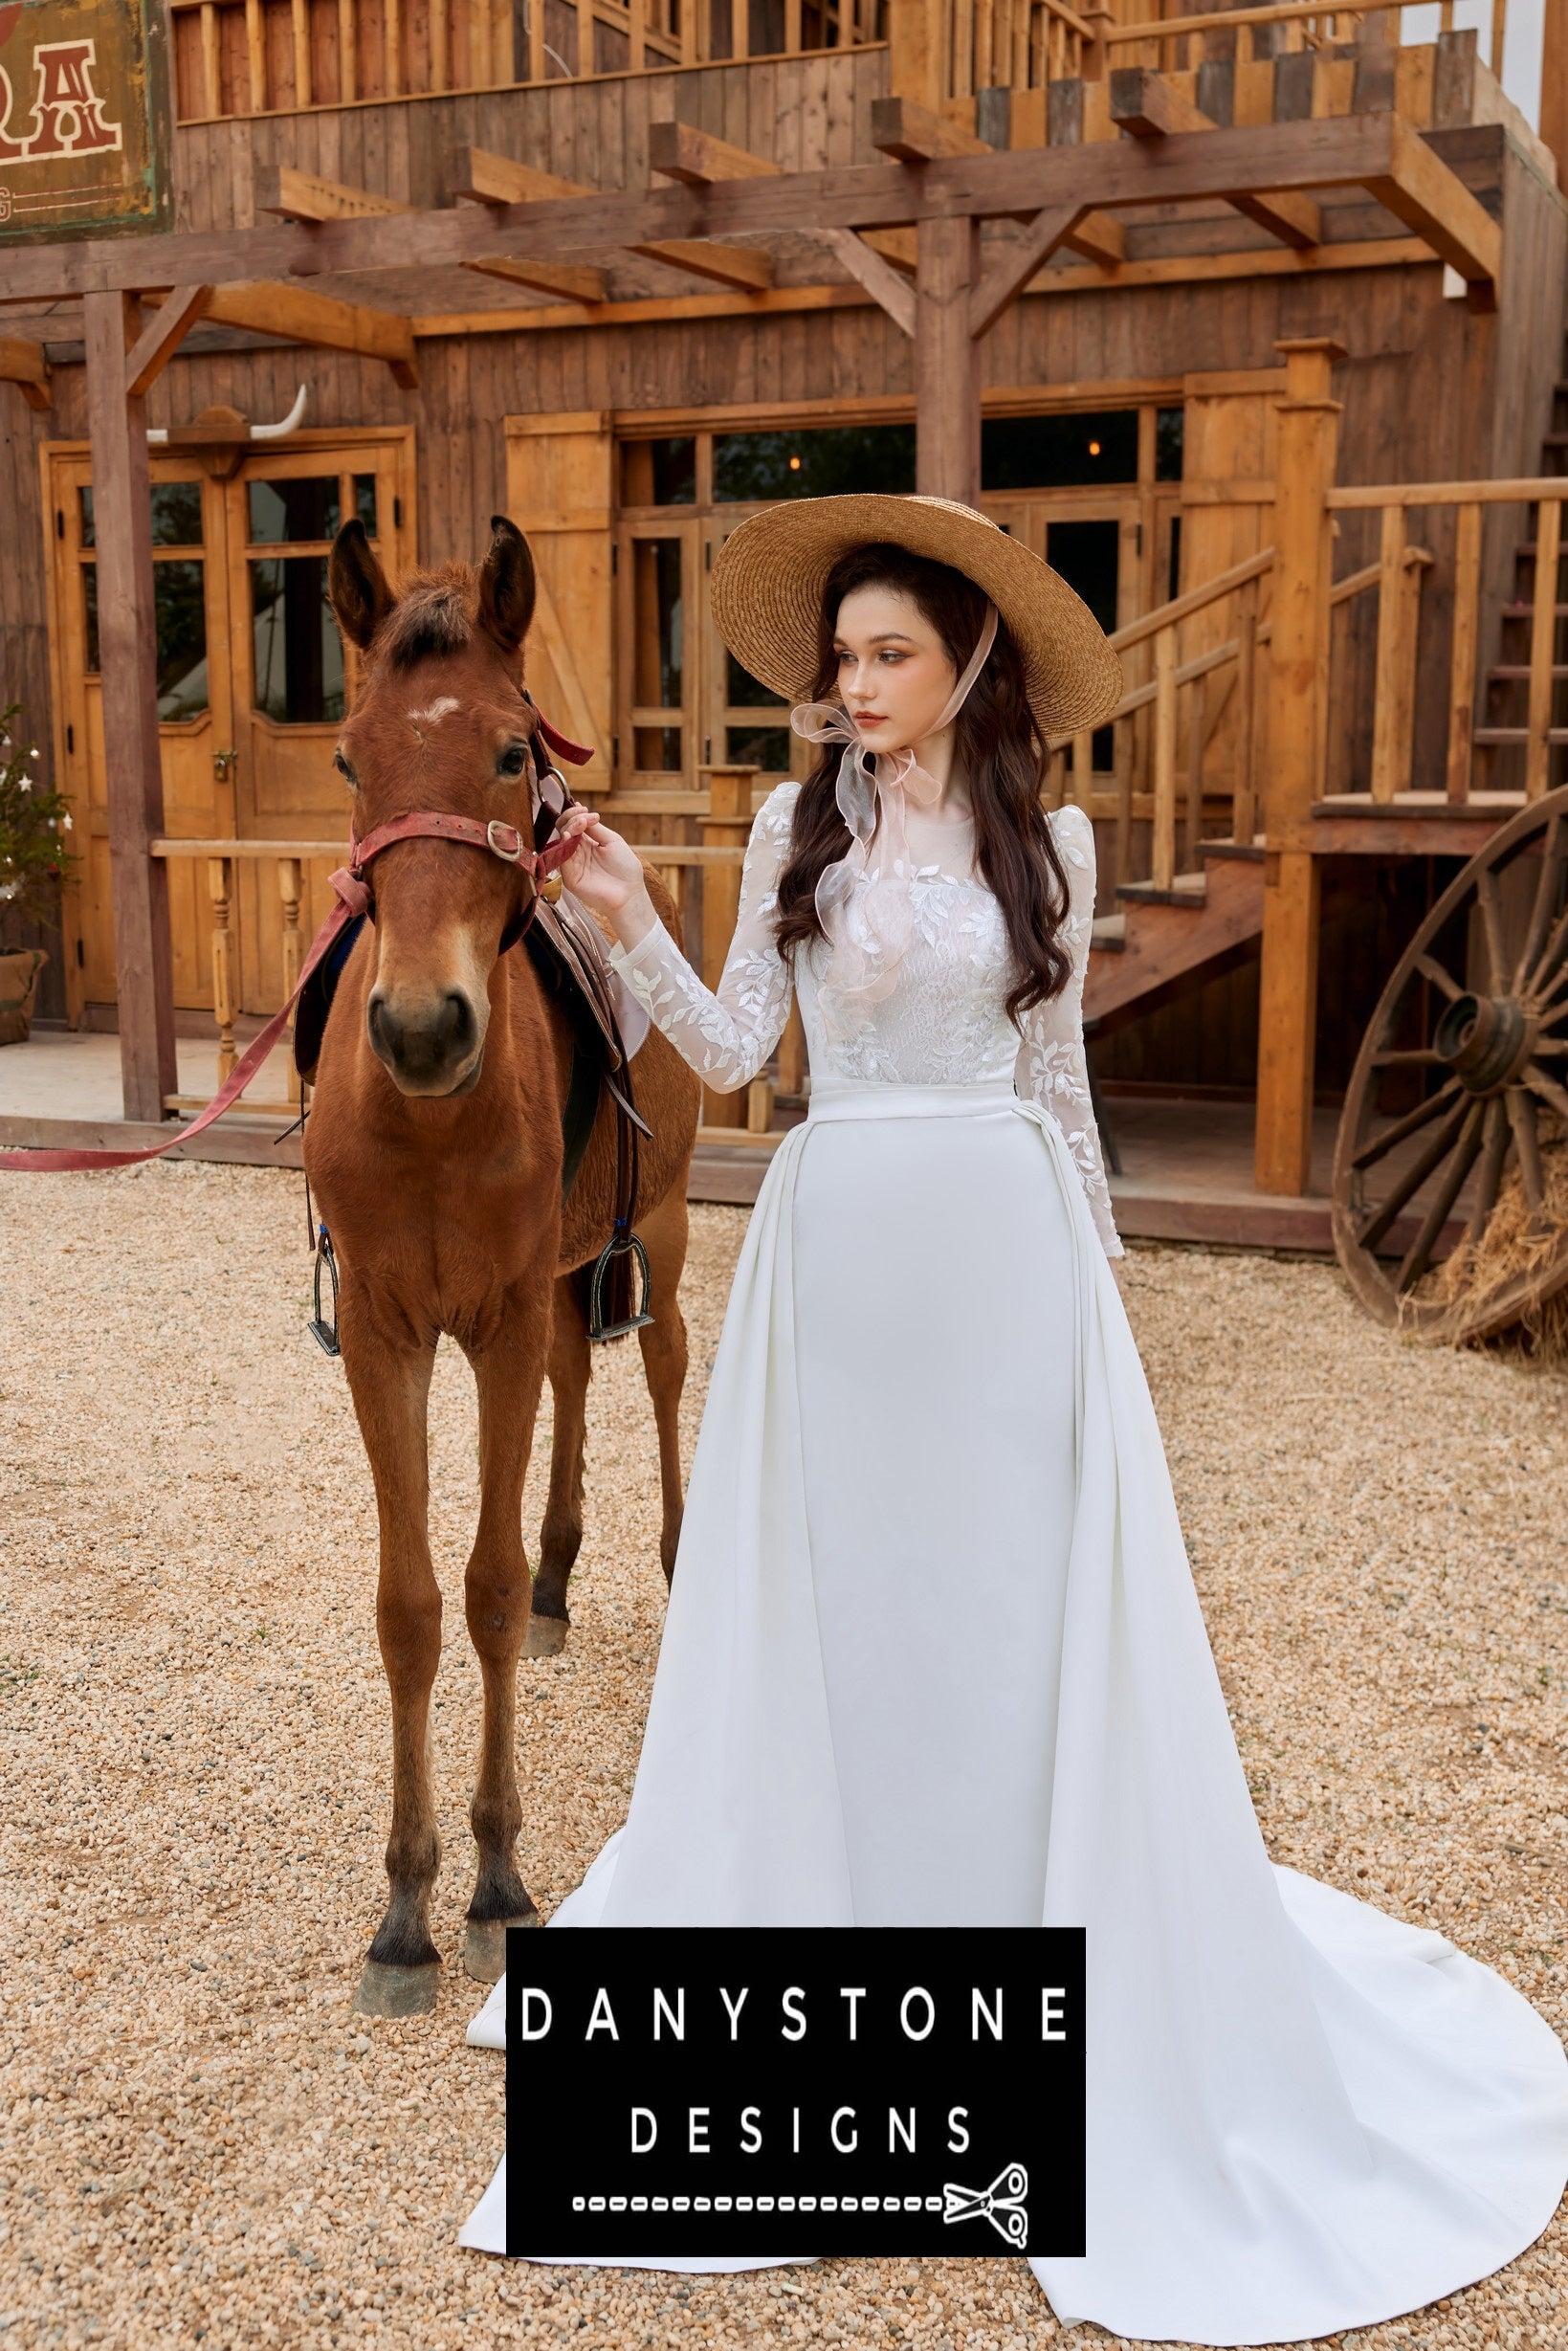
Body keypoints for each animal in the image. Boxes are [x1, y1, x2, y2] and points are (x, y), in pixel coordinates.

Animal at [305, 519, 700, 2022]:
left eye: (509, 752)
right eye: (349, 759)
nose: (422, 1026)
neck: (429, 1118)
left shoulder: (495, 1322)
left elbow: (468, 1589)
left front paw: (488, 1880)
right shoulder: (390, 1332)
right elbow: (413, 1607)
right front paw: (402, 1908)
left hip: (660, 1227)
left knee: (660, 1368)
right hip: (559, 1278)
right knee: (581, 1391)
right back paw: (558, 1583)